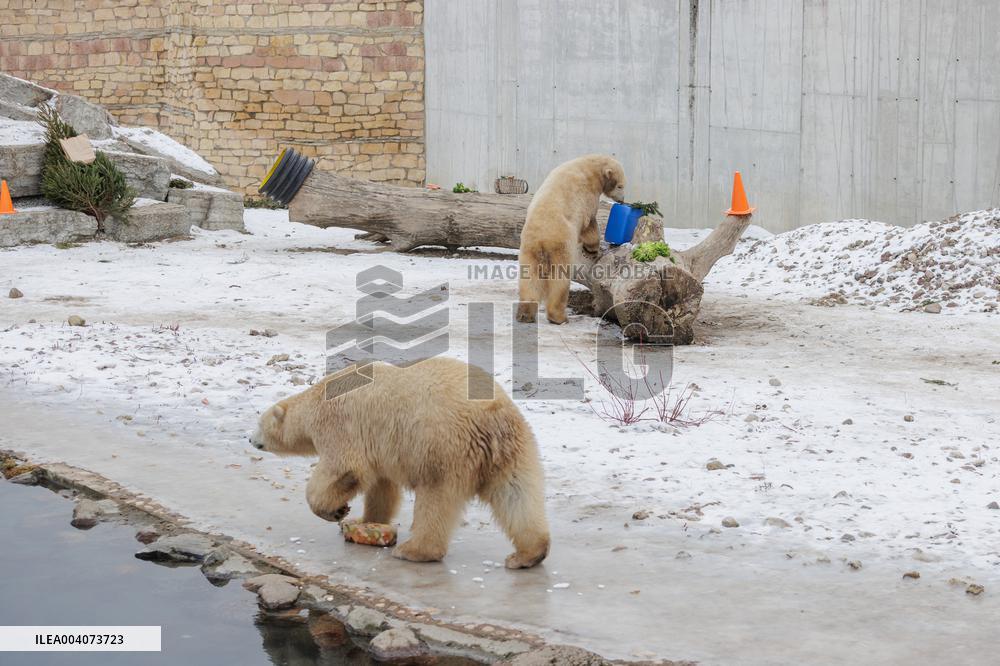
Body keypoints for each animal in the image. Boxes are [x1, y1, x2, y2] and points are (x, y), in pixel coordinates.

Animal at [250, 357, 550, 569]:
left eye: (259, 424)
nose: (250, 439)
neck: (320, 397)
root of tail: (490, 418)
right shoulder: (380, 447)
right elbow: (382, 487)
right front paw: (363, 520)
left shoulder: (341, 425)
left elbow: (344, 468)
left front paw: (335, 511)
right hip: (514, 448)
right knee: (516, 494)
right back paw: (528, 554)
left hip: (441, 447)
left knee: (435, 498)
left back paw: (413, 551)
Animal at [516, 154, 626, 325]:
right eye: (620, 186)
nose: (622, 200)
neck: (590, 166)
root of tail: (542, 240)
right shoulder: (587, 193)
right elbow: (589, 223)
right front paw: (592, 248)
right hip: (561, 244)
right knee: (560, 279)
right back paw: (559, 317)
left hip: (529, 250)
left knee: (529, 278)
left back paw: (525, 314)